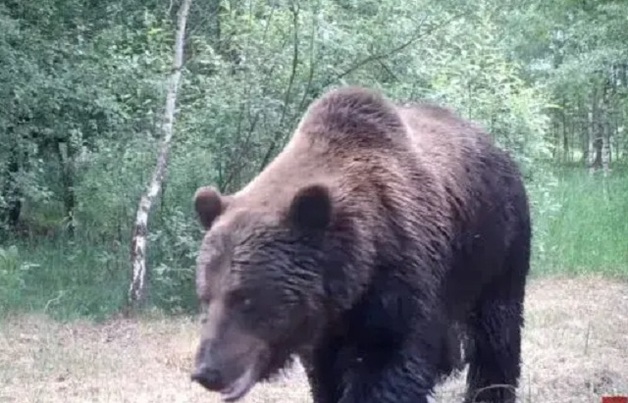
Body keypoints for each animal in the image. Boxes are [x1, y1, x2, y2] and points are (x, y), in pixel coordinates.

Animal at [190, 86, 528, 403]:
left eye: (245, 297)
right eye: (206, 297)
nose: (207, 372)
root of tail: (497, 147)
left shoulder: (402, 278)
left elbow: (388, 362)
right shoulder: (325, 325)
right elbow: (325, 375)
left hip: (497, 245)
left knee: (496, 330)